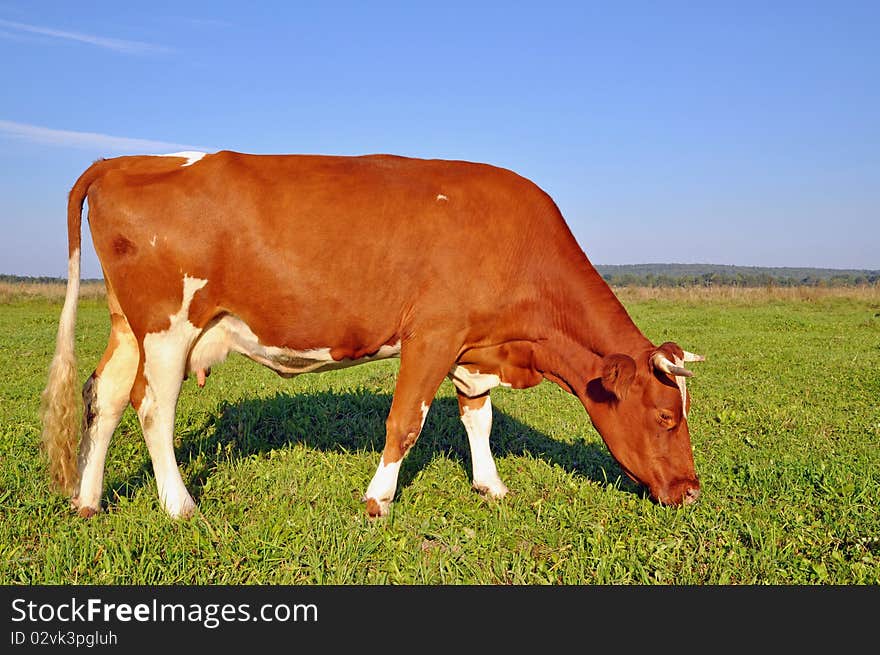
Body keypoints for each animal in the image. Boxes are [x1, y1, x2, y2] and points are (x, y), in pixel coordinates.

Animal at [41, 151, 704, 520]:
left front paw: (491, 485)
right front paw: (378, 499)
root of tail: (123, 161)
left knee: (103, 398)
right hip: (168, 327)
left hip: (129, 325)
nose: (692, 491)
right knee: (152, 408)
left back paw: (88, 501)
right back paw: (179, 506)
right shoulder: (433, 335)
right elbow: (405, 421)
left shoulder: (474, 348)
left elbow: (479, 418)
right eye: (667, 417)